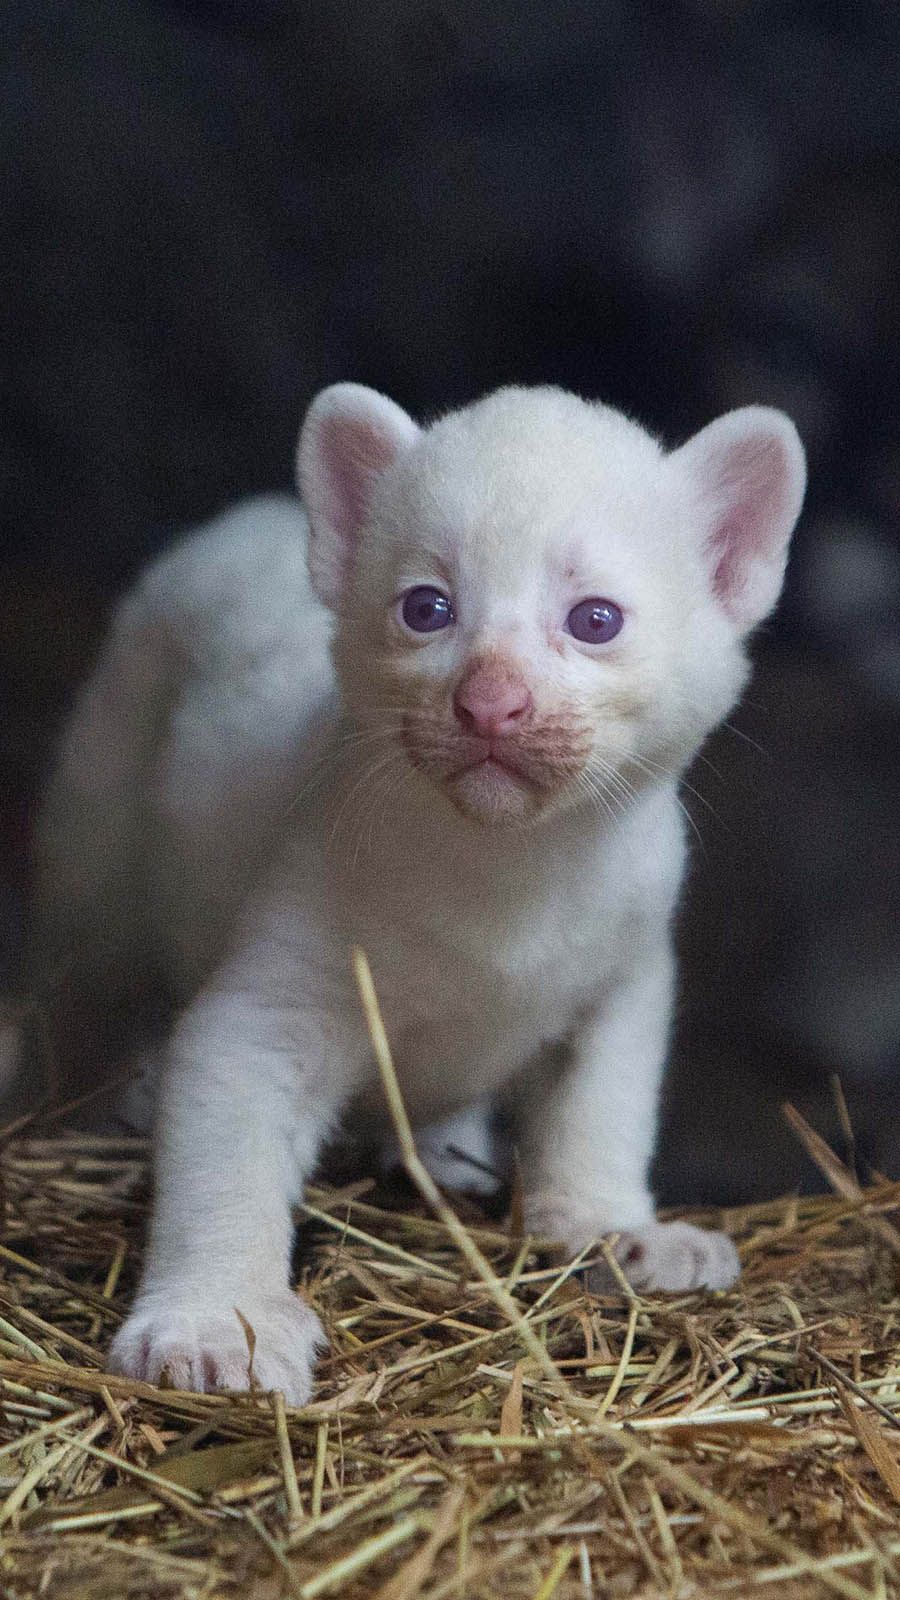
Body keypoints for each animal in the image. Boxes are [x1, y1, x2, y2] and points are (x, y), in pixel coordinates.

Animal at [35, 384, 807, 1401]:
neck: (508, 876)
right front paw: (213, 1328)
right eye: (426, 607)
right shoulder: (274, 996)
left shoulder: (625, 976)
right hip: (94, 853)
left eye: (596, 619)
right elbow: (224, 1155)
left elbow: (601, 1108)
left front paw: (618, 1231)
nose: (490, 704)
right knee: (73, 996)